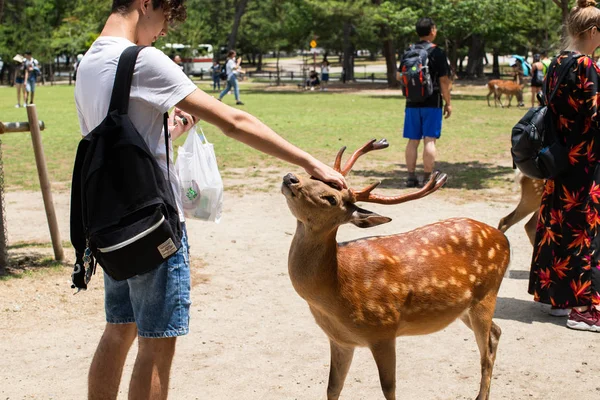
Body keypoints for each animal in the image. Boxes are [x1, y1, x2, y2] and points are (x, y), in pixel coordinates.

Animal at [282, 140, 510, 400]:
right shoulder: (340, 340)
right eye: (314, 176)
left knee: (486, 352)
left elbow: (388, 387)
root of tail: (503, 238)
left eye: (331, 198)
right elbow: (333, 387)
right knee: (496, 332)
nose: (290, 178)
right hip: (464, 308)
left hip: (487, 294)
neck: (337, 289)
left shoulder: (384, 329)